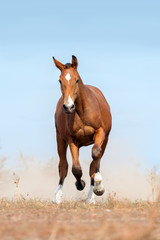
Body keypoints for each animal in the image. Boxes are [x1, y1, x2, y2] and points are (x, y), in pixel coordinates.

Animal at [52, 55, 111, 203]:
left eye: (77, 79)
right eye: (60, 80)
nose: (68, 107)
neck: (82, 111)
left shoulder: (100, 133)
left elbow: (95, 156)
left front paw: (99, 188)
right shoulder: (71, 139)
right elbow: (76, 169)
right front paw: (80, 184)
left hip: (105, 139)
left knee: (95, 162)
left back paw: (92, 195)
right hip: (60, 139)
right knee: (63, 165)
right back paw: (57, 196)